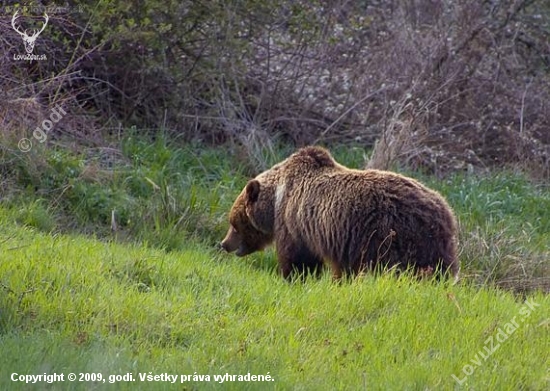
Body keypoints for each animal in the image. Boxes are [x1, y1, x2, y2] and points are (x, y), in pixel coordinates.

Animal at [222, 147, 460, 282]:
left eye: (234, 224)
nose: (224, 244)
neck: (275, 203)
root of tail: (446, 212)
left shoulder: (294, 224)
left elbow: (297, 258)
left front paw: (293, 278)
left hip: (394, 236)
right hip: (437, 246)